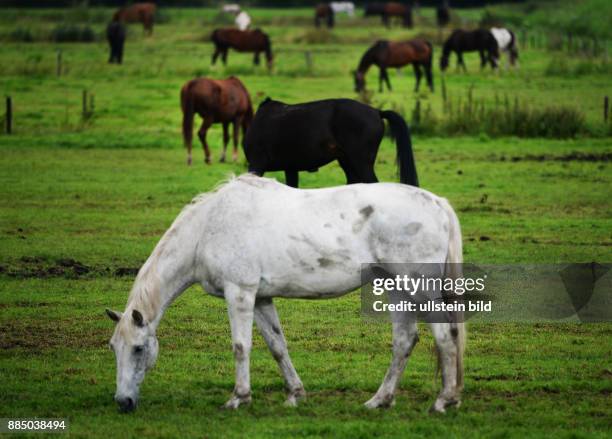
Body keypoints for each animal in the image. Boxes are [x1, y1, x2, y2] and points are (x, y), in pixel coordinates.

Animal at [107, 174, 466, 412]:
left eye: (139, 349)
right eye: (114, 348)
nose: (123, 402)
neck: (208, 227)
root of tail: (437, 203)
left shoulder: (240, 293)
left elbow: (241, 347)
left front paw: (239, 397)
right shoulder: (261, 299)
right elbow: (277, 345)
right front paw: (294, 394)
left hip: (421, 290)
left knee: (444, 338)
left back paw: (443, 401)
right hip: (395, 287)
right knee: (404, 341)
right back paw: (380, 400)